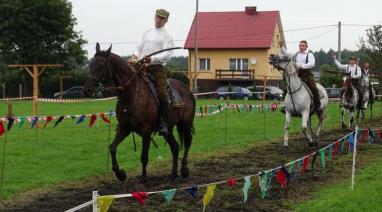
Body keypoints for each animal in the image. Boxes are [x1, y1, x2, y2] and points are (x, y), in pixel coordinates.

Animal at [84, 44, 195, 181]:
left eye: (101, 66)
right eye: (90, 65)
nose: (87, 90)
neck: (132, 94)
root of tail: (187, 90)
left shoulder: (146, 132)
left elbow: (144, 157)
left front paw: (143, 178)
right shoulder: (124, 128)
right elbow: (112, 147)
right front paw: (120, 174)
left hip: (185, 124)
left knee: (188, 141)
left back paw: (184, 169)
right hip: (168, 129)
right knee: (175, 147)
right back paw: (173, 174)